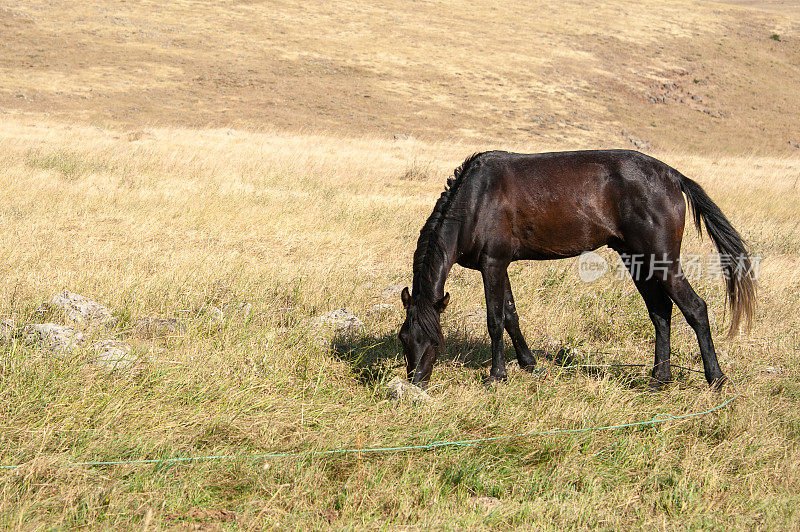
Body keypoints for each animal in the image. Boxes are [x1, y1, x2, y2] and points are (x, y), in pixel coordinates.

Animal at [398, 148, 756, 388]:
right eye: (404, 339)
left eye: (435, 341)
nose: (415, 382)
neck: (475, 201)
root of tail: (673, 175)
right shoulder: (500, 265)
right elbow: (511, 315)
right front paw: (528, 363)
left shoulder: (493, 264)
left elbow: (495, 320)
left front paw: (496, 375)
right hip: (637, 259)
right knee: (660, 312)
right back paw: (659, 377)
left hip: (663, 260)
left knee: (695, 308)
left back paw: (715, 378)